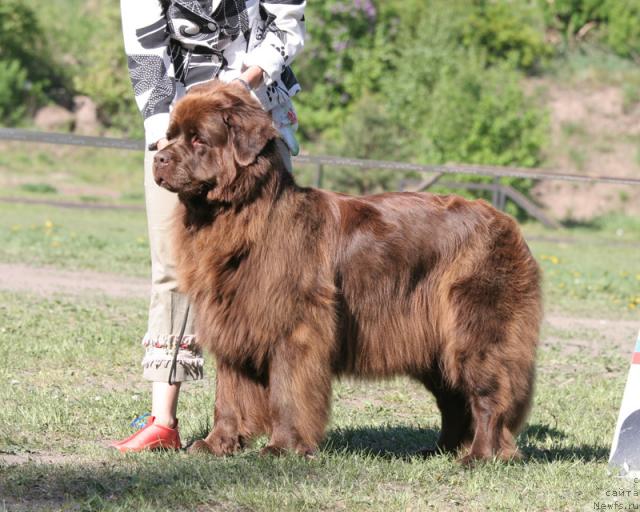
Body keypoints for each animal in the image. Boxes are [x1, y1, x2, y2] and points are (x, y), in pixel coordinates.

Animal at [154, 81, 540, 464]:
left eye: (198, 139)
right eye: (170, 136)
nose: (158, 158)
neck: (242, 218)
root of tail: (506, 222)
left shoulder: (294, 327)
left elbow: (286, 392)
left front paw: (282, 447)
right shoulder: (235, 321)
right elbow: (229, 395)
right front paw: (217, 444)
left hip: (475, 328)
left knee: (488, 392)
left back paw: (480, 455)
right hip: (432, 341)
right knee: (453, 399)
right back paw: (441, 449)